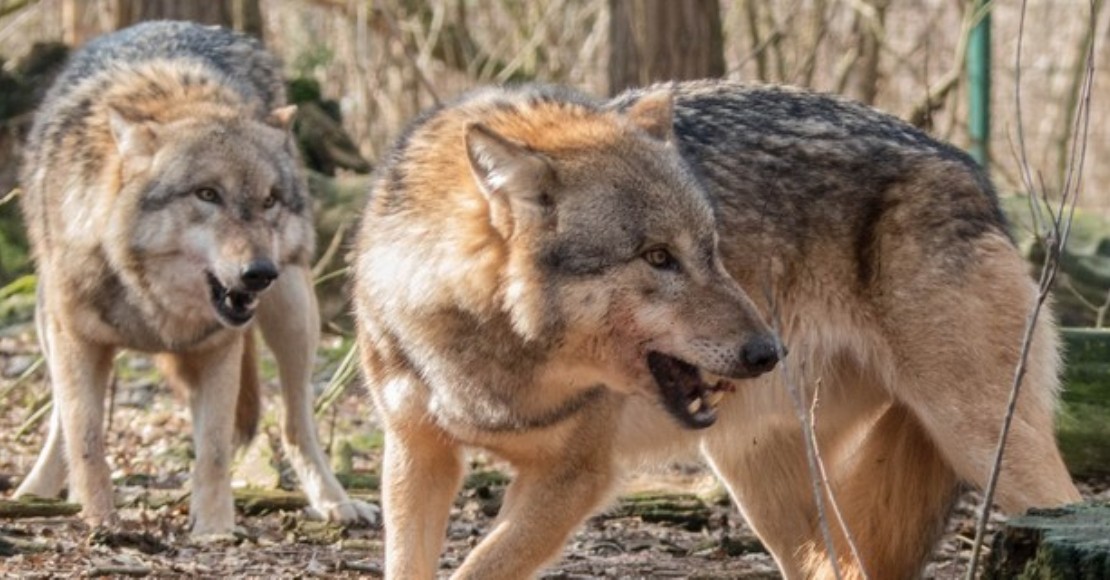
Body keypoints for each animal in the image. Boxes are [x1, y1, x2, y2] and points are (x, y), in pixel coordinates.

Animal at [15, 21, 375, 541]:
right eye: (207, 194)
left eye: (268, 200)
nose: (259, 273)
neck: (151, 301)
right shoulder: (77, 340)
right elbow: (85, 438)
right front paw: (101, 520)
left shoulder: (218, 349)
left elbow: (216, 451)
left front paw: (215, 530)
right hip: (48, 323)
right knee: (62, 418)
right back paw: (35, 492)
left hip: (294, 312)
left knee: (295, 423)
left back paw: (335, 502)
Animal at [352, 78, 1074, 580]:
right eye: (657, 257)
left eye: (713, 248)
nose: (768, 351)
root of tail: (970, 172)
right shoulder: (416, 455)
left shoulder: (574, 478)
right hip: (761, 476)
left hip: (990, 445)